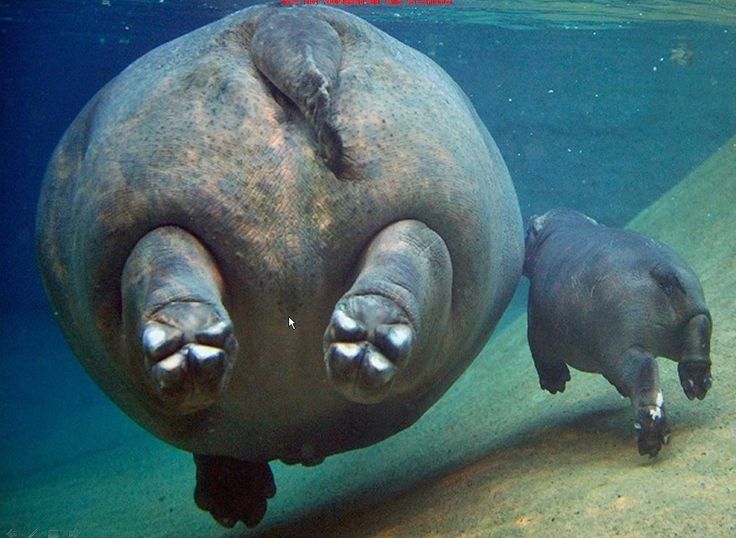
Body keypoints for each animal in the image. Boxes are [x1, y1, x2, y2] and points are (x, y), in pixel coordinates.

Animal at [523, 208, 712, 457]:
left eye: (527, 231)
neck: (561, 226)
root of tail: (661, 270)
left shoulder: (535, 323)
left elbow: (540, 353)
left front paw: (555, 384)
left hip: (623, 350)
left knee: (644, 376)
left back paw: (649, 439)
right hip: (695, 314)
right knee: (698, 341)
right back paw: (696, 385)